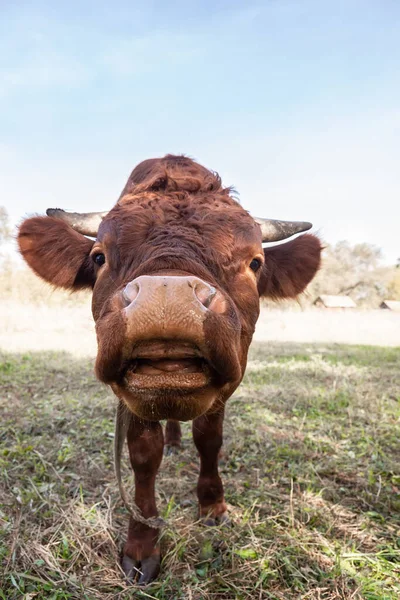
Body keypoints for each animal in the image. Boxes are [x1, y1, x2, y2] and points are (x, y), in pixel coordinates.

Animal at [18, 154, 322, 580]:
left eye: (255, 262)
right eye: (99, 257)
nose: (167, 296)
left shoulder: (227, 386)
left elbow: (209, 438)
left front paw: (212, 505)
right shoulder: (129, 400)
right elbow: (144, 456)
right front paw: (142, 543)